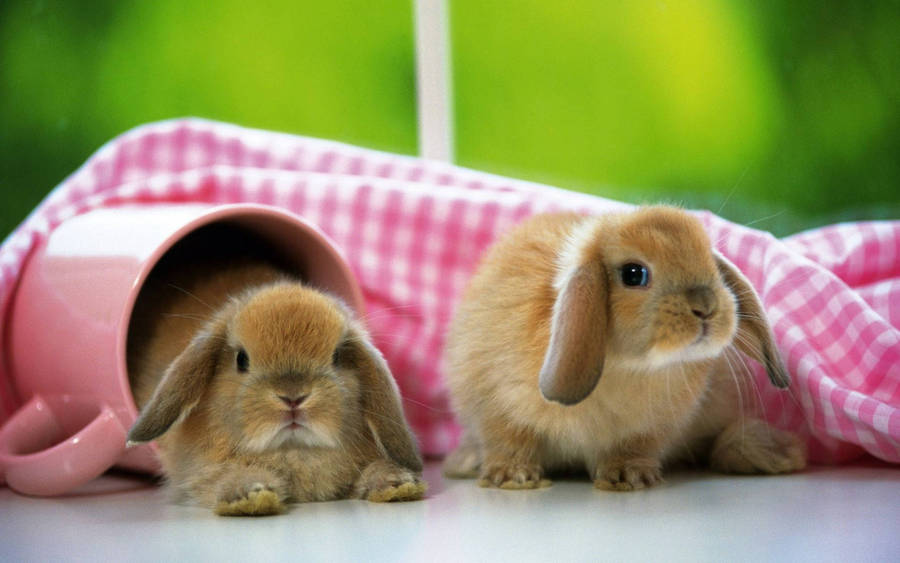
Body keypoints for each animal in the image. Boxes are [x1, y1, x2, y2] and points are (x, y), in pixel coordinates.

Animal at [124, 260, 428, 516]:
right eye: (241, 359)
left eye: (337, 357)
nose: (293, 397)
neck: (293, 449)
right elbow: (223, 480)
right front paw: (250, 495)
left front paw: (397, 484)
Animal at [446, 205, 804, 492]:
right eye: (634, 274)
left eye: (712, 267)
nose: (706, 306)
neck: (626, 367)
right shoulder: (495, 405)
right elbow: (508, 441)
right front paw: (512, 477)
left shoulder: (653, 428)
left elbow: (635, 447)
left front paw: (628, 477)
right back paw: (463, 462)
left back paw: (773, 454)